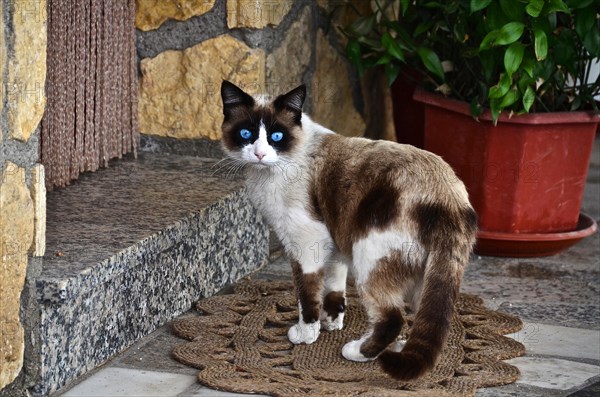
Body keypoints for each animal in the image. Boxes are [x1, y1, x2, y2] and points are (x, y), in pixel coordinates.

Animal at [218, 80, 476, 380]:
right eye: (246, 134)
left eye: (277, 136)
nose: (259, 154)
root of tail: (449, 196)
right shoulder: (335, 241)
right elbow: (334, 287)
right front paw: (331, 322)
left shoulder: (306, 242)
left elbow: (306, 294)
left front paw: (306, 334)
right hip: (425, 273)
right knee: (424, 315)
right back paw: (399, 347)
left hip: (368, 257)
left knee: (393, 318)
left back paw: (360, 352)